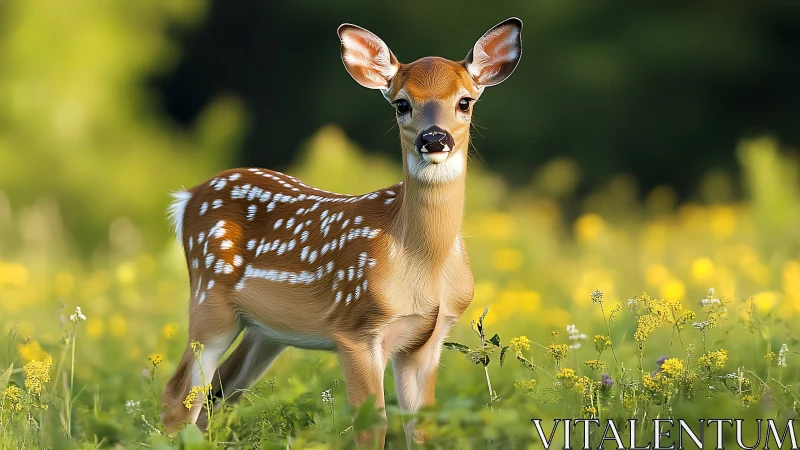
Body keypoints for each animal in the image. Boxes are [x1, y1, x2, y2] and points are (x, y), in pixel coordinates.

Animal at [161, 17, 522, 447]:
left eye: (465, 101)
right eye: (402, 103)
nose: (434, 138)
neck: (421, 261)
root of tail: (187, 198)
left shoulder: (428, 339)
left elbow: (421, 426)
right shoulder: (356, 329)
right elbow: (372, 425)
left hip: (264, 331)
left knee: (220, 392)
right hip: (209, 300)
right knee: (179, 395)